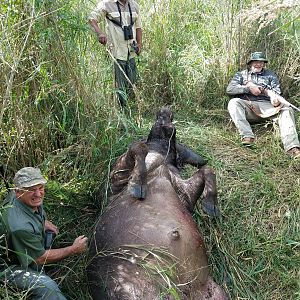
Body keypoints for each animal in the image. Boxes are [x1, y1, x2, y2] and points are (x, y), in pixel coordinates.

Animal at [86, 106, 227, 298]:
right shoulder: (114, 181)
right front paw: (138, 185)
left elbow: (207, 169)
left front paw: (211, 205)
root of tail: (186, 291)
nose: (165, 110)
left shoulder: (184, 194)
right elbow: (138, 147)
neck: (162, 155)